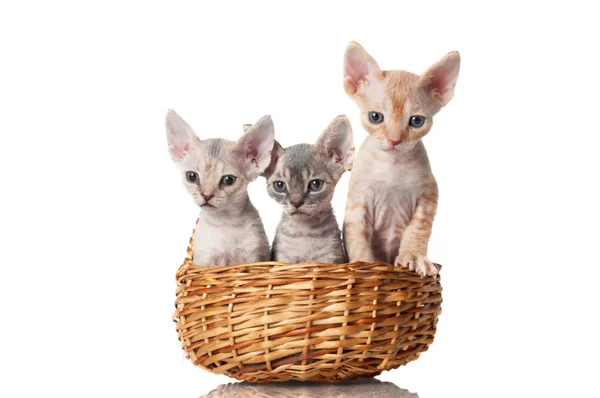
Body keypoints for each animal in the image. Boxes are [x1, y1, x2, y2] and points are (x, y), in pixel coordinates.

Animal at [166, 109, 274, 266]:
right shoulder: (204, 261)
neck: (224, 222)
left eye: (228, 180)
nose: (206, 195)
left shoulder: (254, 256)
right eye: (192, 176)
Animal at [264, 115, 354, 264]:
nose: (296, 203)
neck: (305, 233)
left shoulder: (331, 258)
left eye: (315, 184)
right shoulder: (283, 259)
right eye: (279, 185)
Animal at [342, 41, 460, 276]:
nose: (395, 140)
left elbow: (418, 230)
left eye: (416, 121)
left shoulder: (429, 196)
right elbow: (357, 239)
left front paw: (414, 257)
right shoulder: (357, 203)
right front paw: (363, 266)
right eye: (375, 117)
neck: (392, 165)